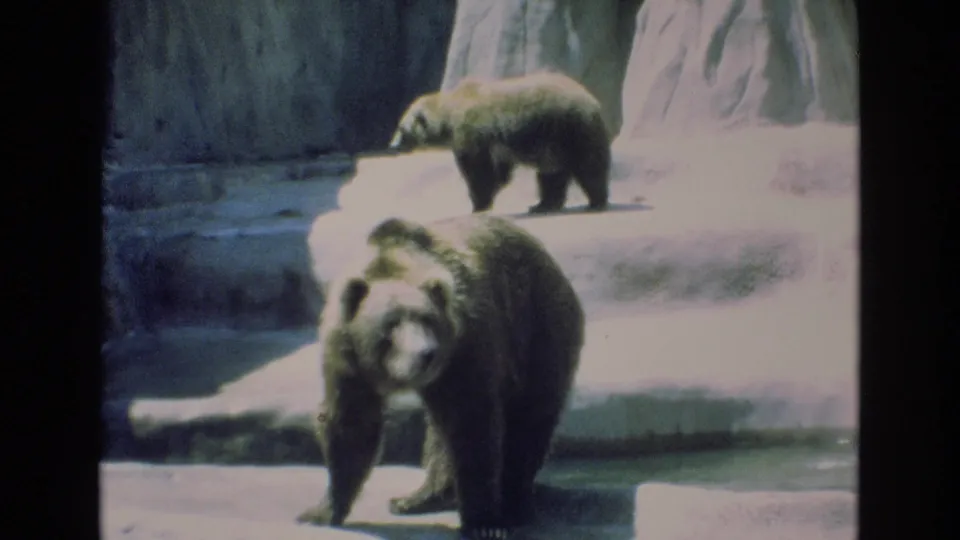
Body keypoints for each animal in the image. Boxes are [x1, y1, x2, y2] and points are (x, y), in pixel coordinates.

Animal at [296, 214, 585, 539]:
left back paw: (514, 505)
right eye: (391, 324)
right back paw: (417, 498)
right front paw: (321, 512)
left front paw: (483, 522)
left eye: (427, 319)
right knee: (440, 433)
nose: (426, 353)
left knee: (530, 416)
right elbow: (351, 423)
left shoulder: (465, 345)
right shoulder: (347, 359)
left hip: (538, 327)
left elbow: (472, 423)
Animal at [388, 71, 612, 215]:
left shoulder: (472, 130)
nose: (393, 145)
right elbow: (500, 168)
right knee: (552, 172)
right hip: (554, 141)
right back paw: (543, 204)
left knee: (588, 164)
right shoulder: (497, 140)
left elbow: (478, 169)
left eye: (401, 129)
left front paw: (478, 204)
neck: (449, 113)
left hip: (570, 126)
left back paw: (596, 201)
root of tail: (592, 98)